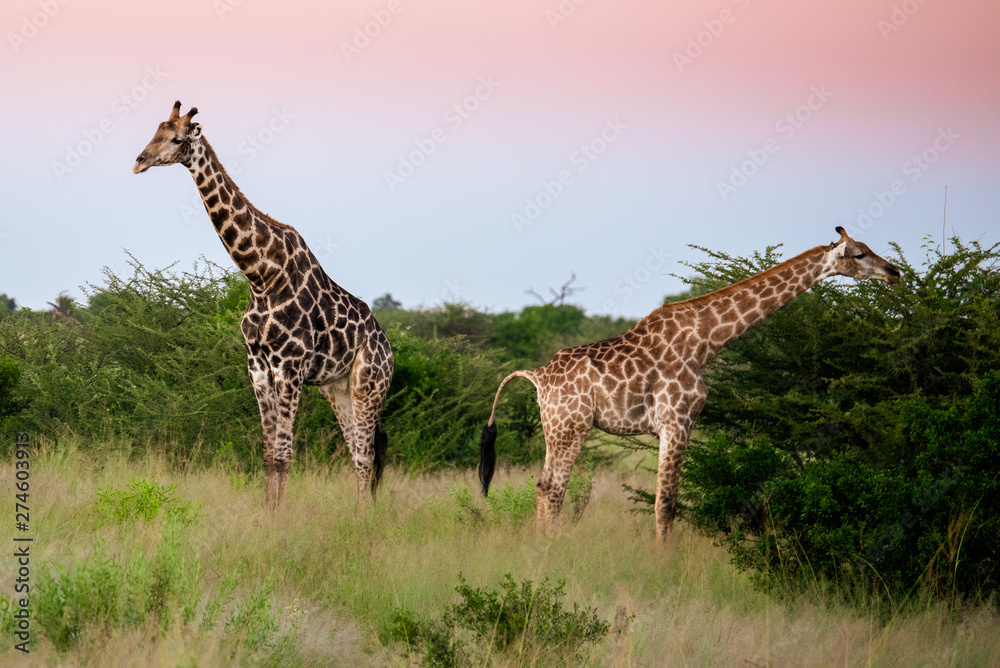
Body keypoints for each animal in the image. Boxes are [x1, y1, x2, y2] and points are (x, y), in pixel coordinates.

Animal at [133, 101, 394, 508]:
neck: (261, 278)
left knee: (366, 454)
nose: (139, 161)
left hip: (369, 384)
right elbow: (270, 455)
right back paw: (358, 512)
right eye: (154, 131)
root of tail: (389, 348)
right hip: (337, 388)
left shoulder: (290, 368)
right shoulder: (257, 367)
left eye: (176, 139)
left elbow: (285, 455)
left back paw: (364, 517)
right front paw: (267, 515)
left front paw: (279, 521)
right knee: (356, 451)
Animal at [479, 228, 900, 537]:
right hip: (571, 427)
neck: (706, 341)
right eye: (859, 254)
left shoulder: (678, 424)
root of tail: (536, 376)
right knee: (553, 489)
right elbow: (665, 504)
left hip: (557, 428)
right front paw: (663, 570)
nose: (894, 272)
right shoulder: (676, 421)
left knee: (542, 487)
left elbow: (669, 503)